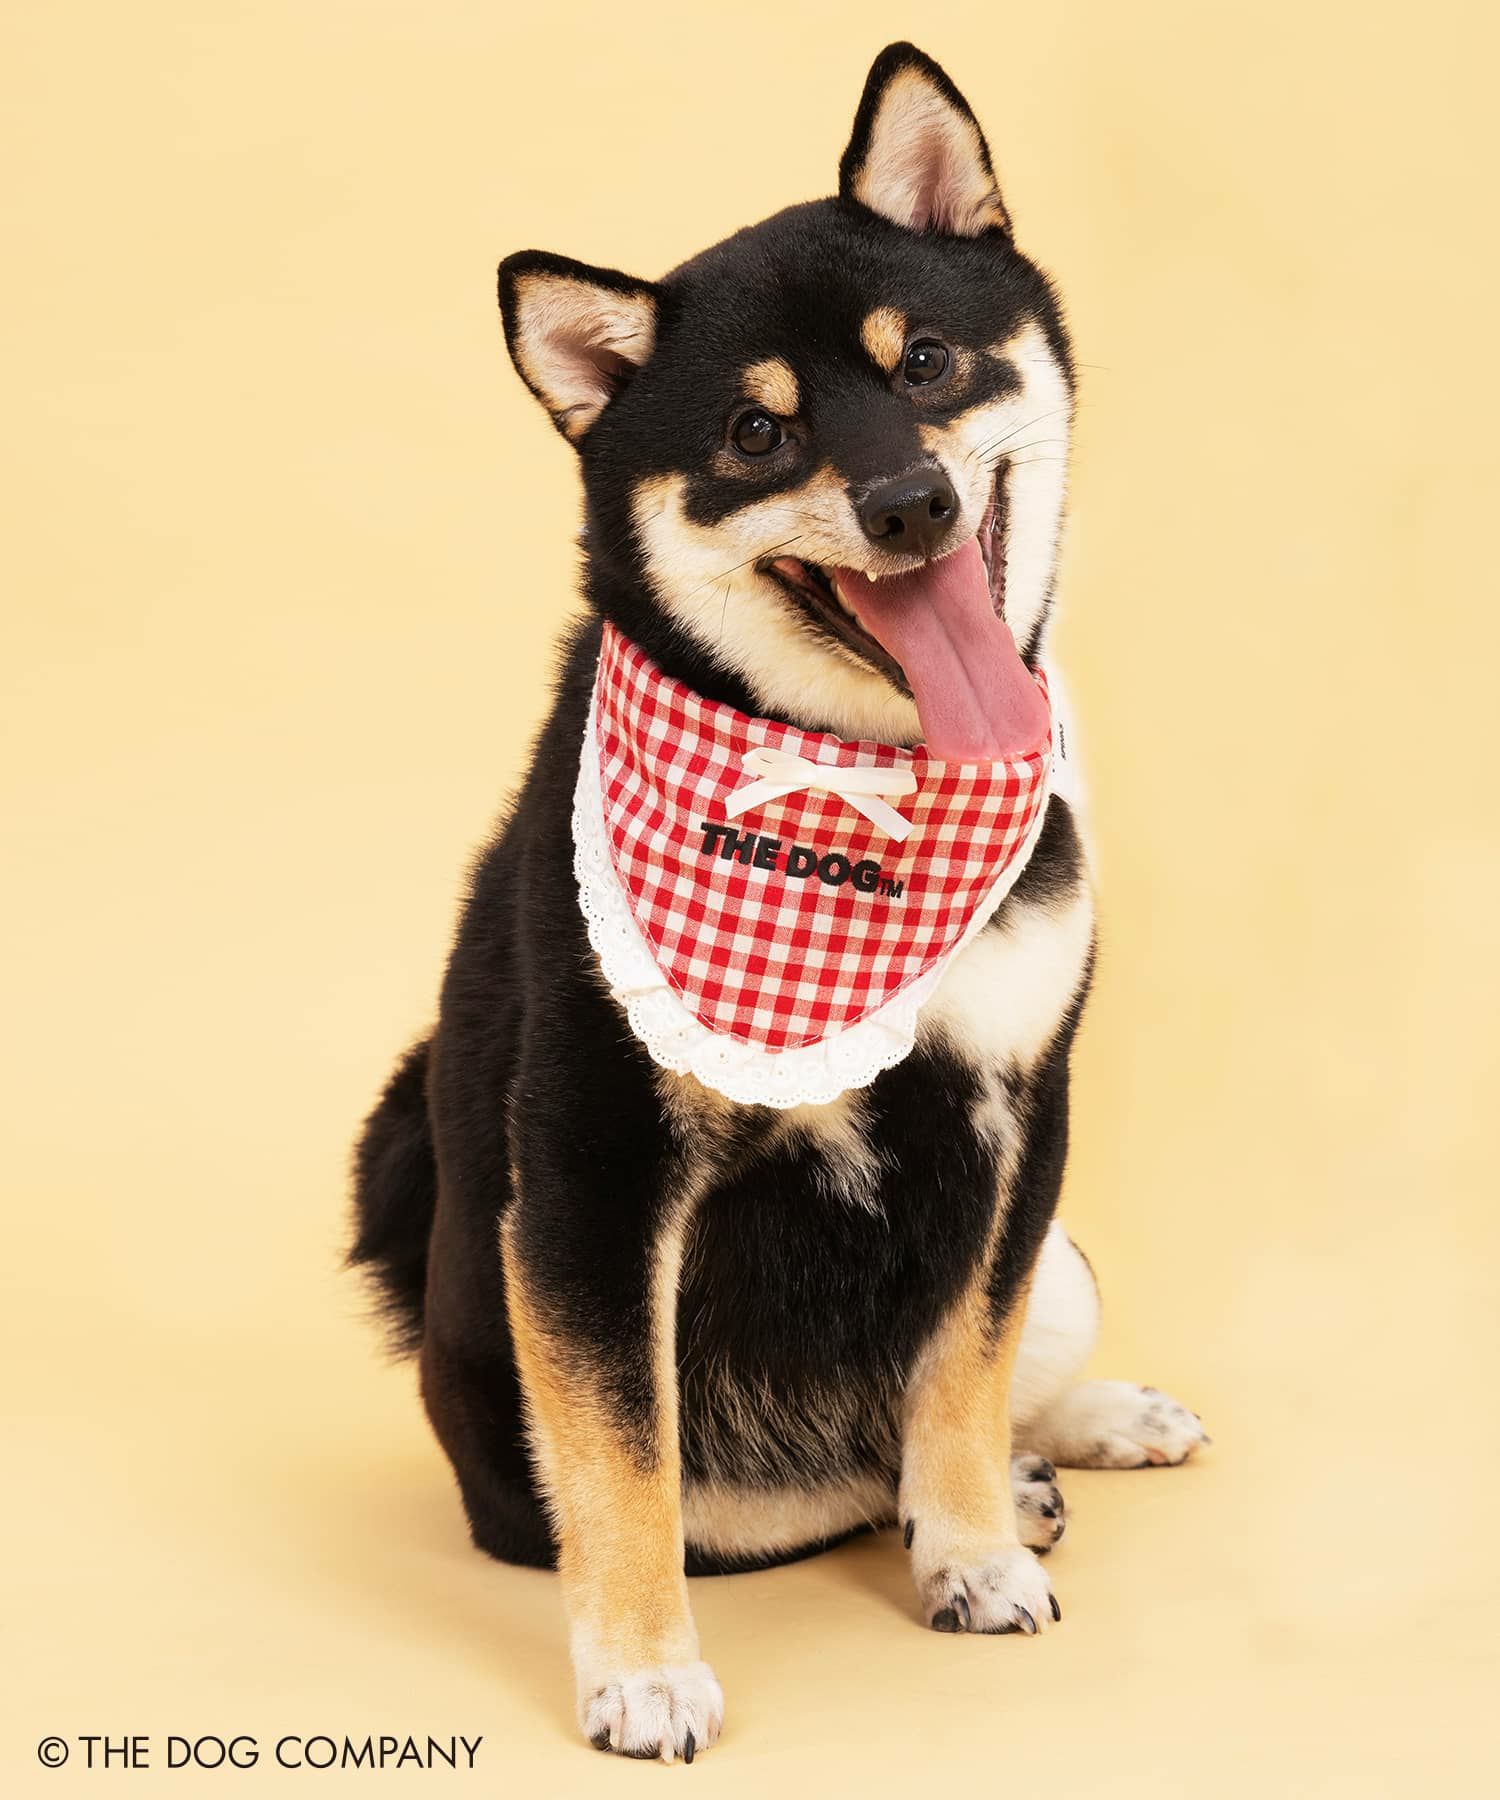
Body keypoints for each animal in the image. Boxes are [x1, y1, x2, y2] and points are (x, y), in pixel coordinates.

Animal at [351, 41, 1207, 1764]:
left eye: (928, 361)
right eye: (756, 435)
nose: (908, 504)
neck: (858, 793)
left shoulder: (1021, 1110)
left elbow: (959, 1369)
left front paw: (974, 1550)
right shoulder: (594, 1172)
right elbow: (628, 1461)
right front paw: (641, 1670)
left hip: (1069, 1250)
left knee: (989, 1381)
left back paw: (1074, 1436)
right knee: (778, 1491)